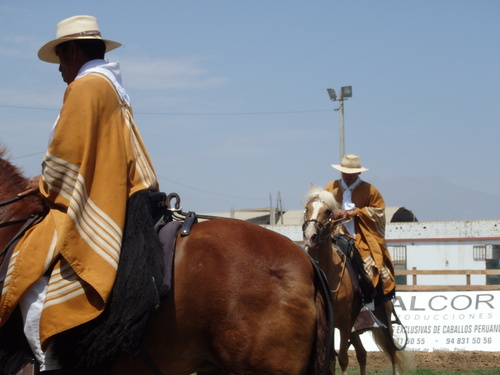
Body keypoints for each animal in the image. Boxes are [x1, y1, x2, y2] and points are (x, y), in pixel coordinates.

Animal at [300, 185, 410, 375]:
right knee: (362, 353)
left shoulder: (344, 323)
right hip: (355, 328)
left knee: (391, 352)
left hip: (383, 320)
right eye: (307, 208)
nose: (310, 236)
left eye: (327, 211)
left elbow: (343, 359)